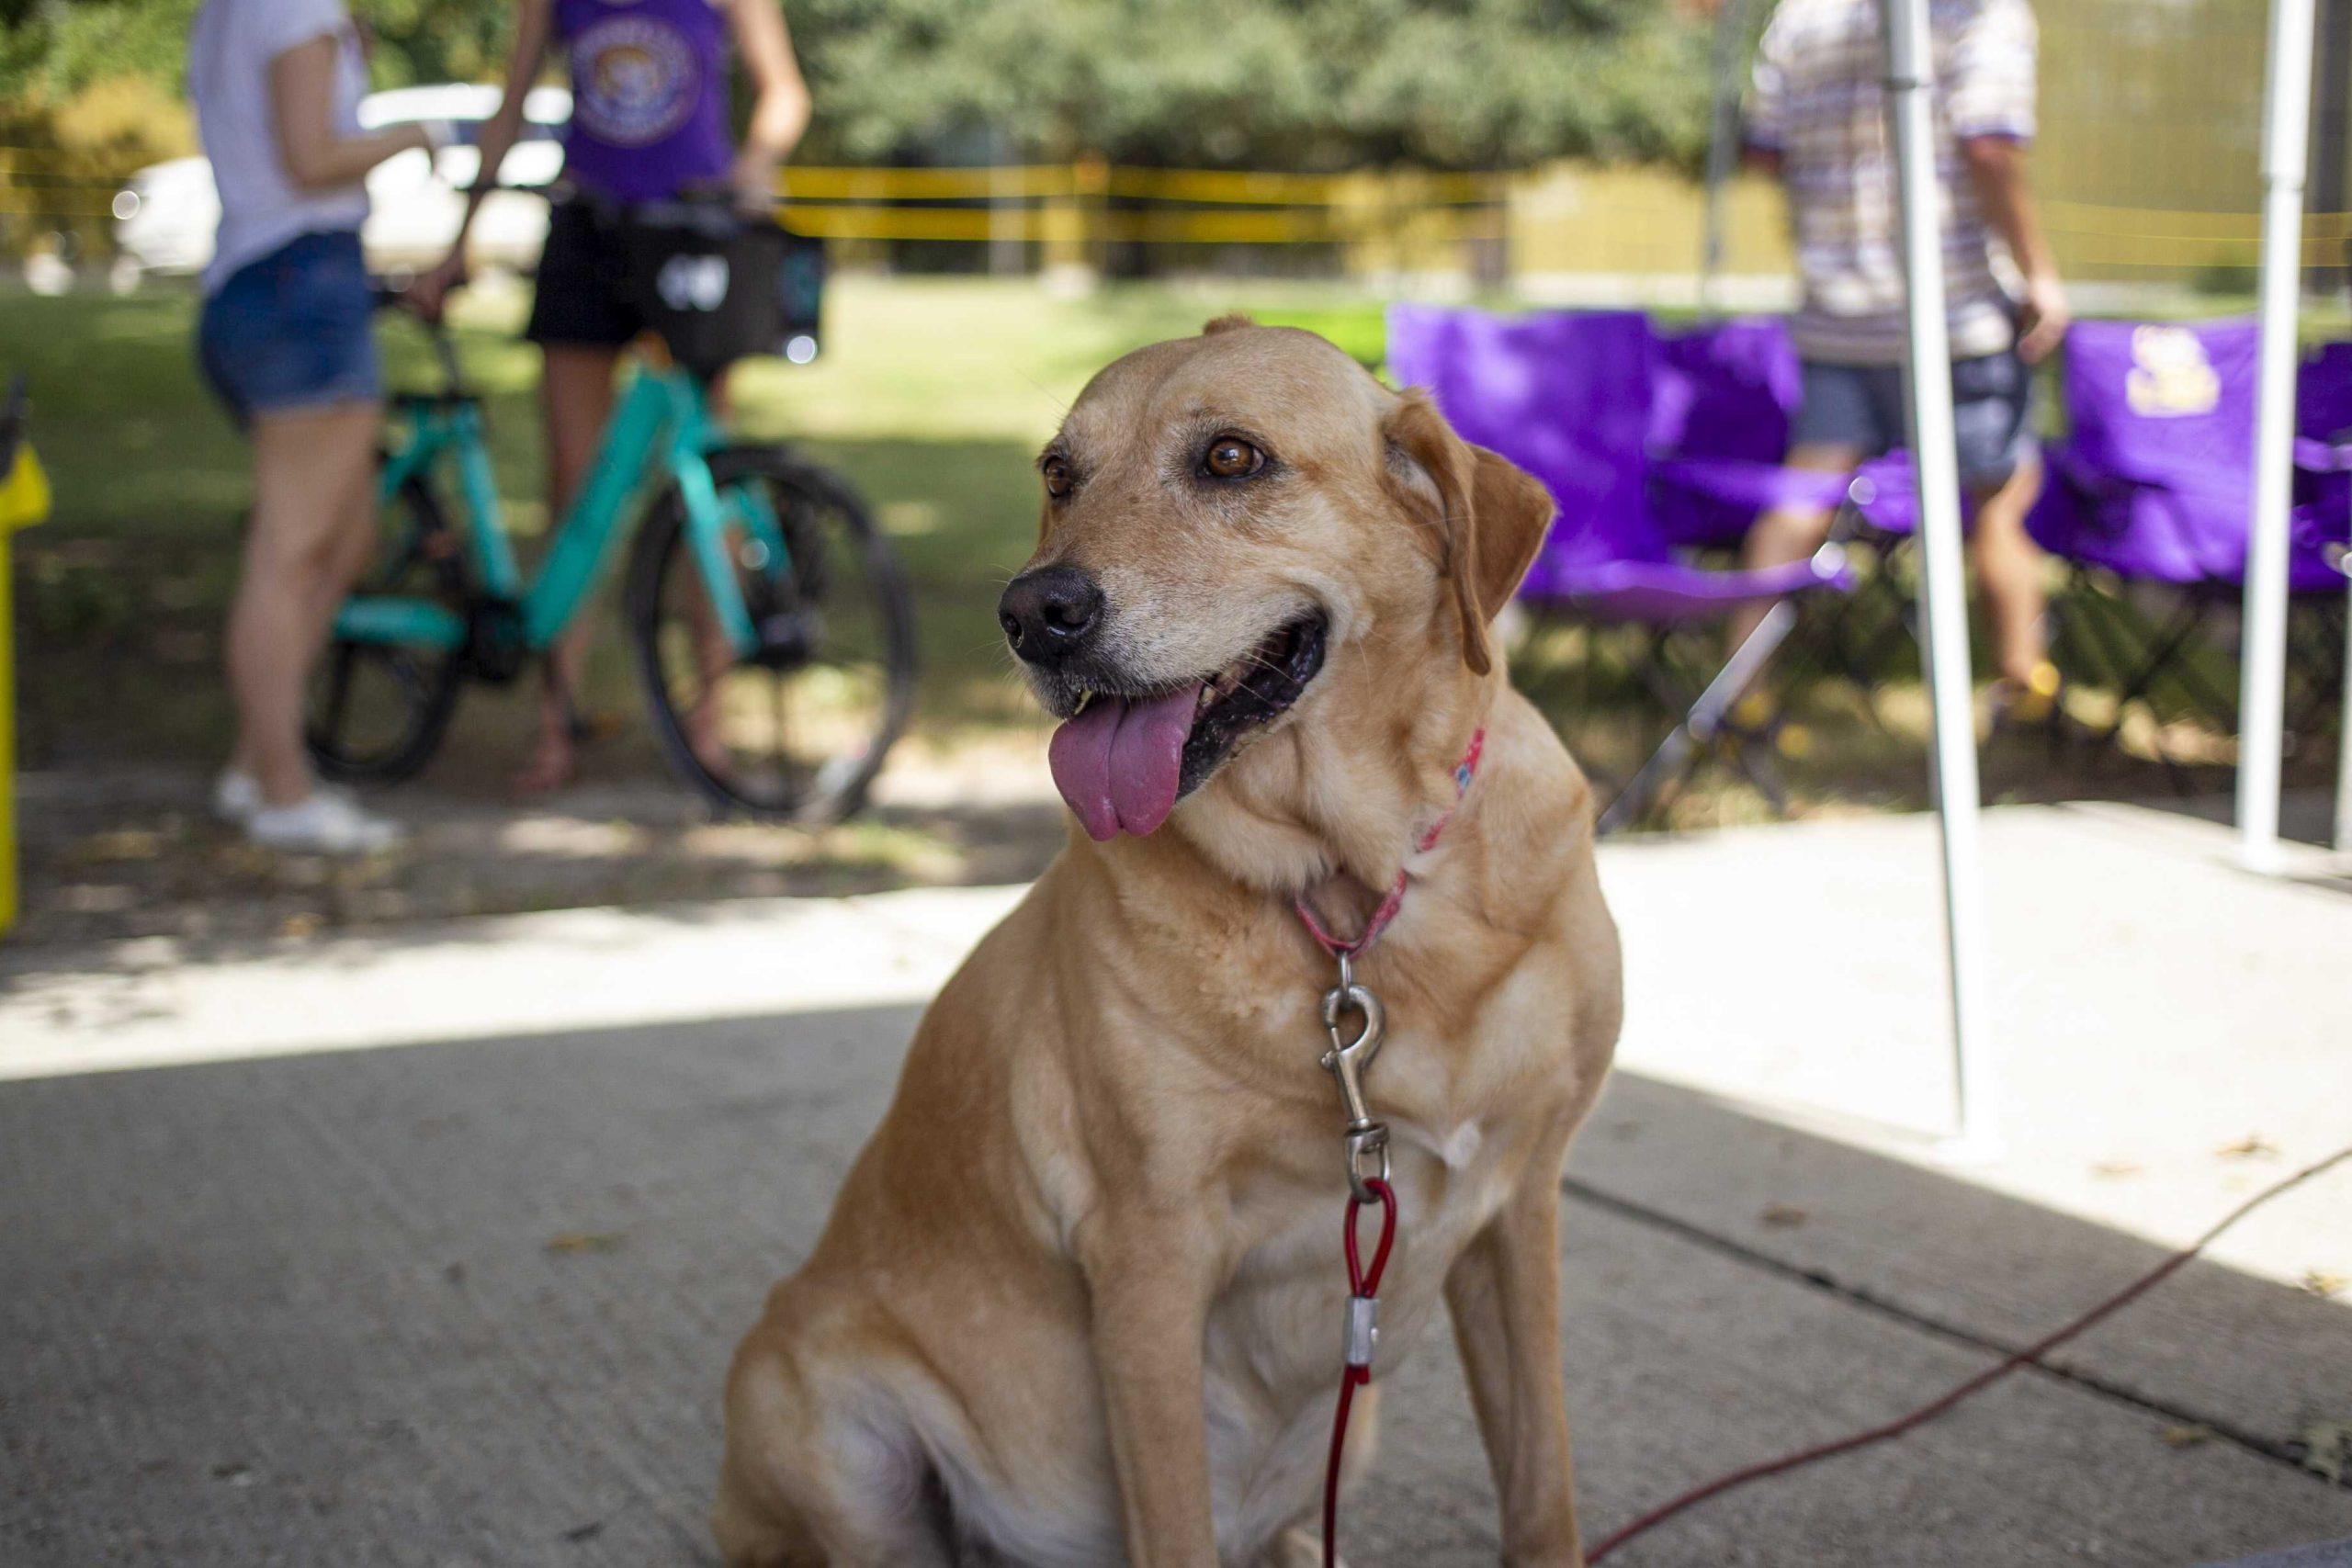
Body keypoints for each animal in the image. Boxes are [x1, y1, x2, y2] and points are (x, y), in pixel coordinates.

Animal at [715, 321, 1618, 1568]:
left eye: (1231, 459)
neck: (1353, 890)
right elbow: (1174, 1520)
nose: (1031, 613)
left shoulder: (1518, 1213)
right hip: (817, 1418)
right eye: (1058, 472)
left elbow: (1540, 1487)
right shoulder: (1148, 1261)